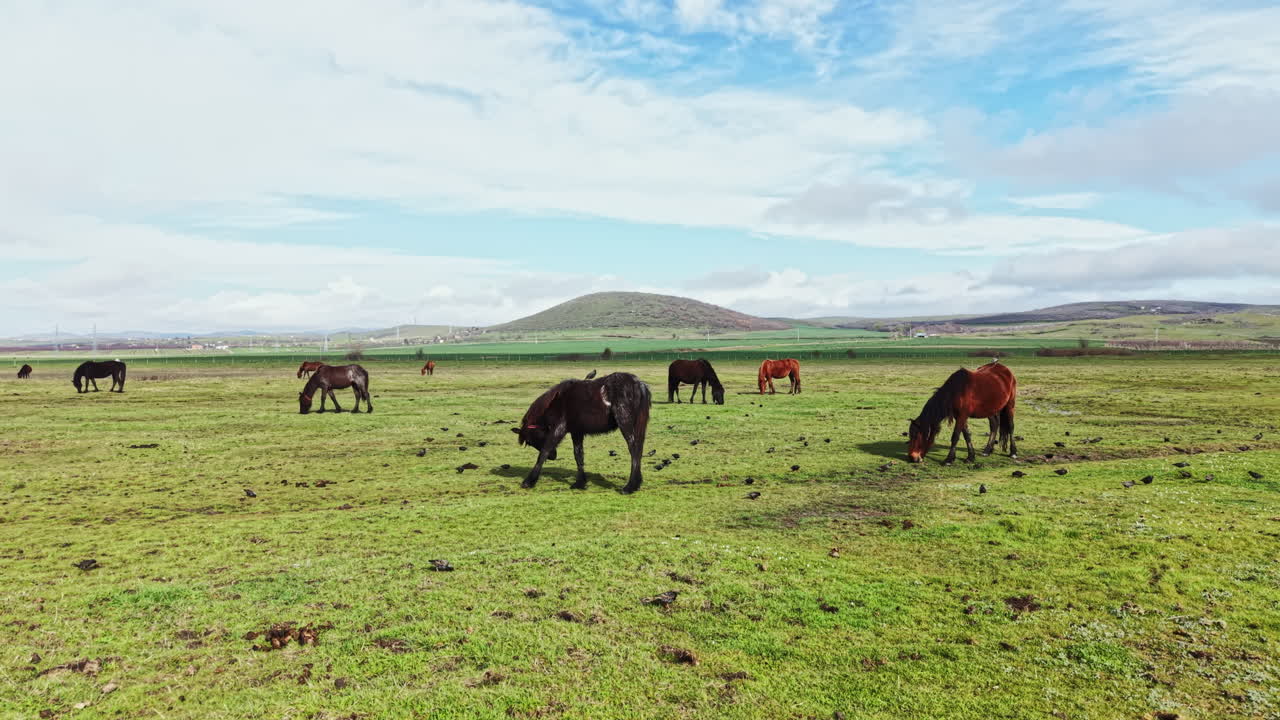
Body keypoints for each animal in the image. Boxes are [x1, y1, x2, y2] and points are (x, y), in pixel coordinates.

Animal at [512, 372, 651, 494]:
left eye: (530, 441)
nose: (553, 456)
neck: (557, 401)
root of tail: (638, 383)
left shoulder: (559, 429)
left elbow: (543, 452)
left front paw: (528, 482)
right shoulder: (577, 432)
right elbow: (578, 455)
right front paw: (580, 483)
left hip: (625, 423)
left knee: (634, 449)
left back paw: (629, 487)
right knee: (638, 450)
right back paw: (636, 483)